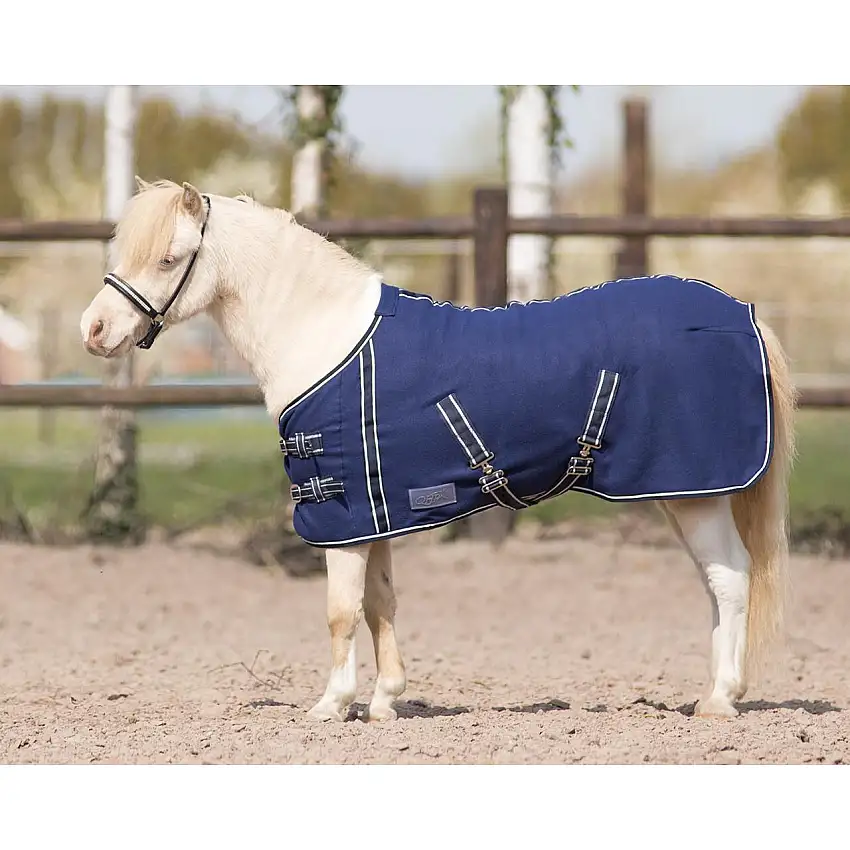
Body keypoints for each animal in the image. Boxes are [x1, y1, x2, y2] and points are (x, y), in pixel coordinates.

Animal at [80, 178, 797, 722]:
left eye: (169, 258)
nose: (94, 330)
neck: (324, 337)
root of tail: (743, 315)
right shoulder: (371, 513)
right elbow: (379, 604)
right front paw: (384, 702)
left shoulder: (339, 517)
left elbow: (340, 613)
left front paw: (332, 706)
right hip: (682, 494)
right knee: (716, 584)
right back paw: (712, 694)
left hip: (695, 493)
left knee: (731, 580)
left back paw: (720, 701)